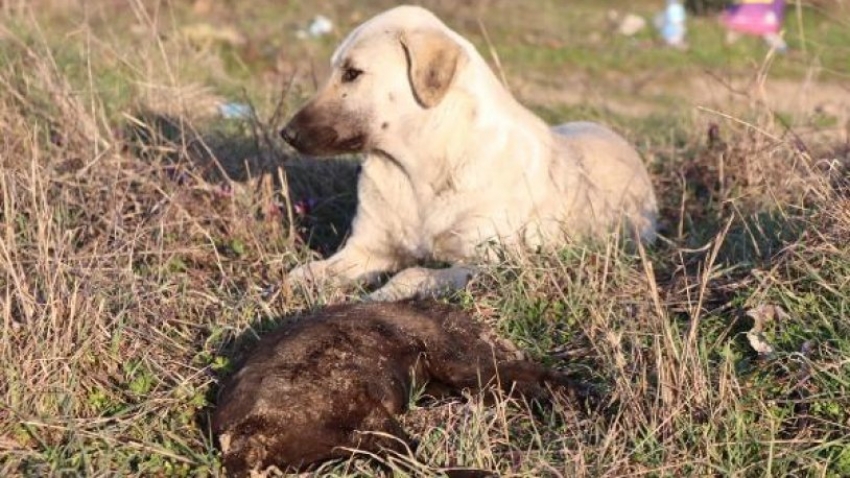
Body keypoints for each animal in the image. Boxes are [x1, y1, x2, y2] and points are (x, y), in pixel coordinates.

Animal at [210, 300, 576, 476]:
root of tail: (241, 440)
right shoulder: (453, 359)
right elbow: (525, 374)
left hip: (361, 431)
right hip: (371, 415)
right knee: (417, 464)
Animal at [280, 4, 656, 298]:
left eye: (352, 73)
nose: (286, 134)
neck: (419, 168)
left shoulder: (488, 264)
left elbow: (411, 274)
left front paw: (376, 298)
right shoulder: (365, 249)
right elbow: (304, 272)